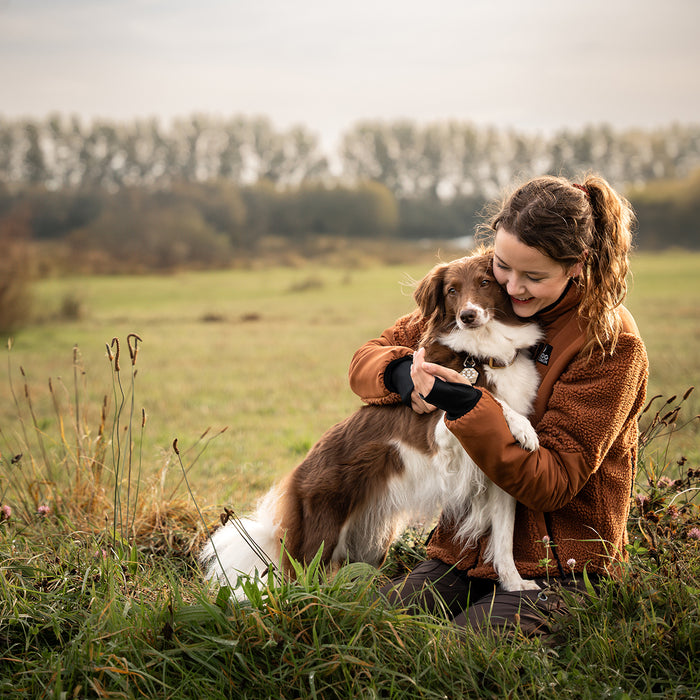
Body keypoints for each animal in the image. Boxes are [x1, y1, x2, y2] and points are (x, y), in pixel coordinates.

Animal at [201, 252, 540, 592]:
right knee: (300, 586)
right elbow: (485, 396)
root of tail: (297, 473)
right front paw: (523, 427)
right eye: (452, 291)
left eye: (485, 282)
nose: (467, 316)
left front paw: (515, 585)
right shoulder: (440, 425)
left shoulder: (496, 471)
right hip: (319, 536)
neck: (481, 352)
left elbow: (504, 540)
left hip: (370, 543)